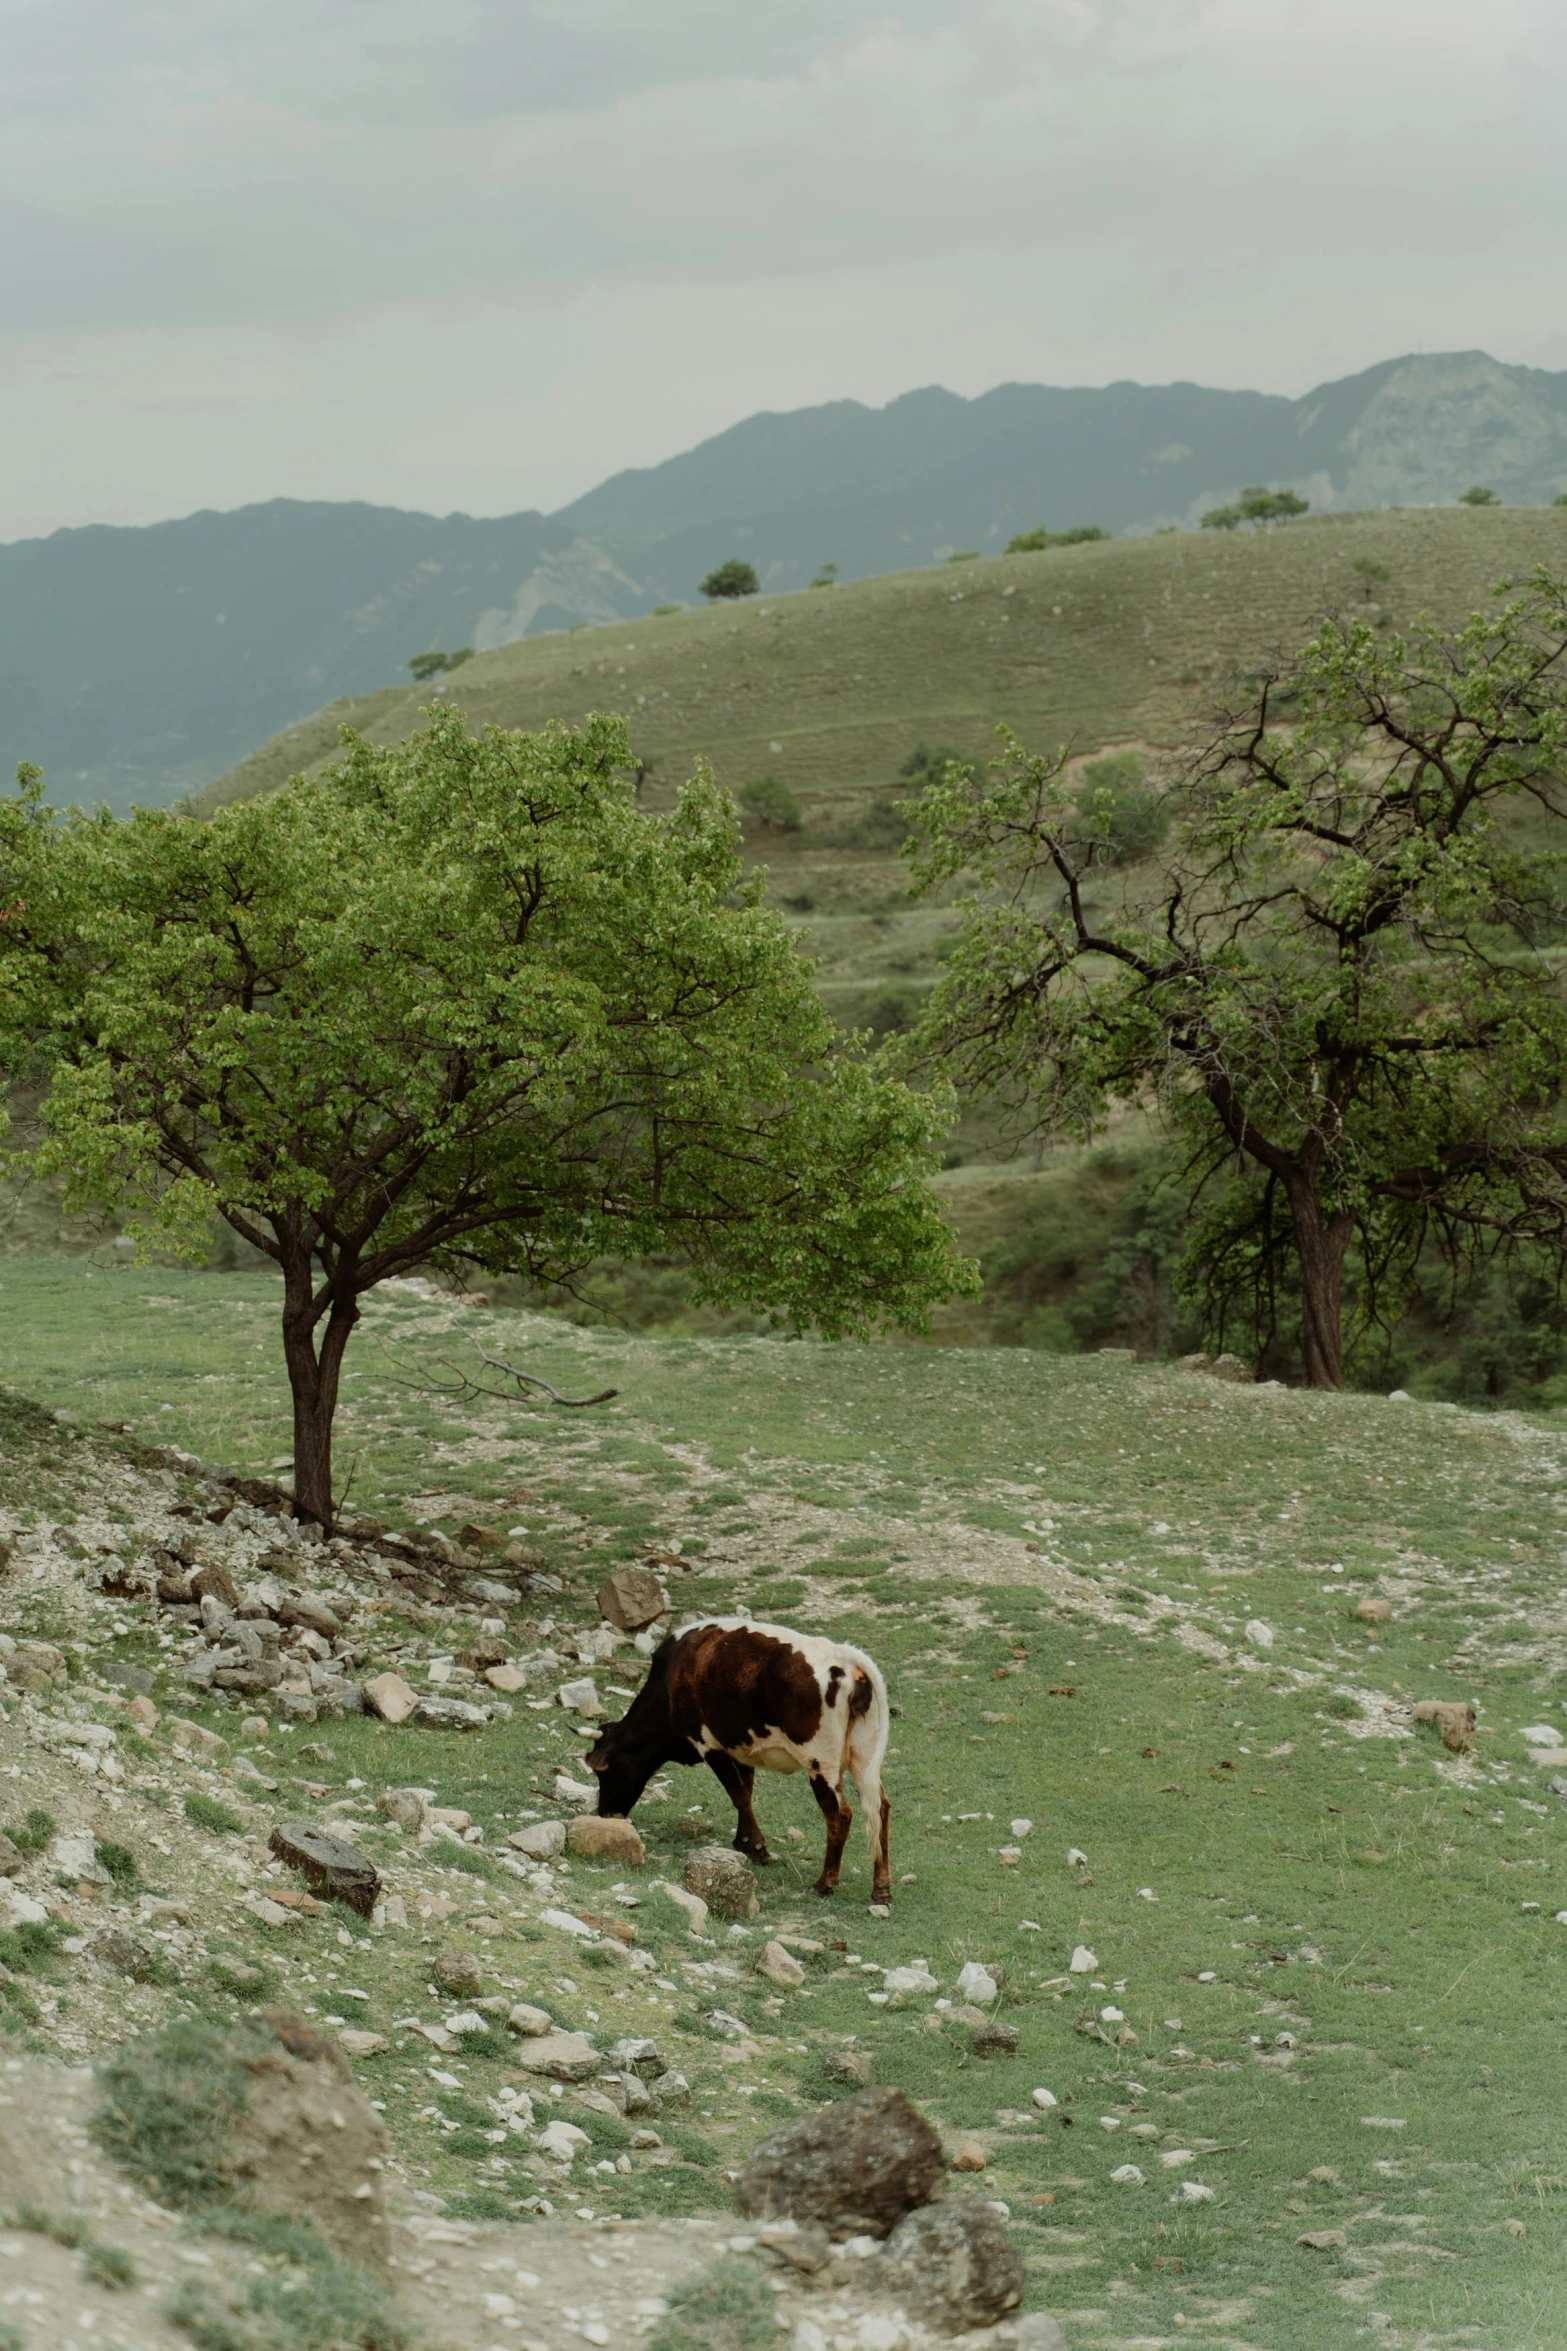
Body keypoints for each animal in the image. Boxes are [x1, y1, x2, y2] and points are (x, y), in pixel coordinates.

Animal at [582, 1617, 892, 1909]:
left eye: (604, 1772)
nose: (604, 1814)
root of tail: (846, 1657)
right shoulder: (741, 1749)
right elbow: (747, 1792)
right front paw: (746, 1844)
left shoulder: (709, 1744)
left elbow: (738, 1795)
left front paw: (755, 1846)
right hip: (863, 1760)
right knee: (879, 1809)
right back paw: (881, 1889)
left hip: (820, 1763)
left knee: (839, 1815)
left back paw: (825, 1883)